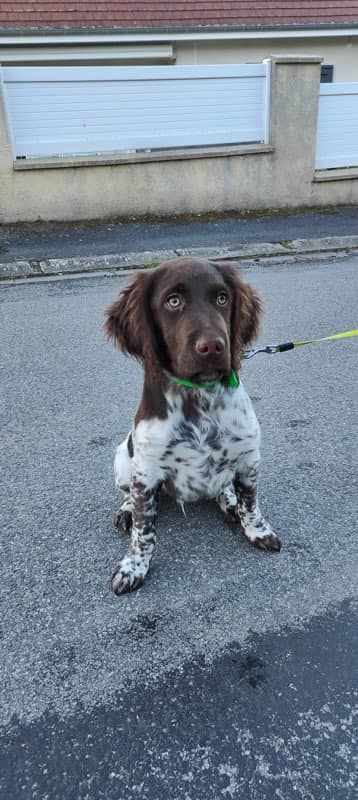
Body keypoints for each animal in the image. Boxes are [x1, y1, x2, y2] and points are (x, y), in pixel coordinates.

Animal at [102, 256, 282, 592]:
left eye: (222, 298)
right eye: (173, 301)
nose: (212, 346)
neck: (199, 399)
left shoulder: (249, 457)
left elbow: (251, 503)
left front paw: (257, 531)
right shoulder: (146, 471)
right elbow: (143, 531)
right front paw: (133, 567)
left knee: (224, 490)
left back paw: (228, 501)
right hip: (122, 458)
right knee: (129, 495)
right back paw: (126, 510)